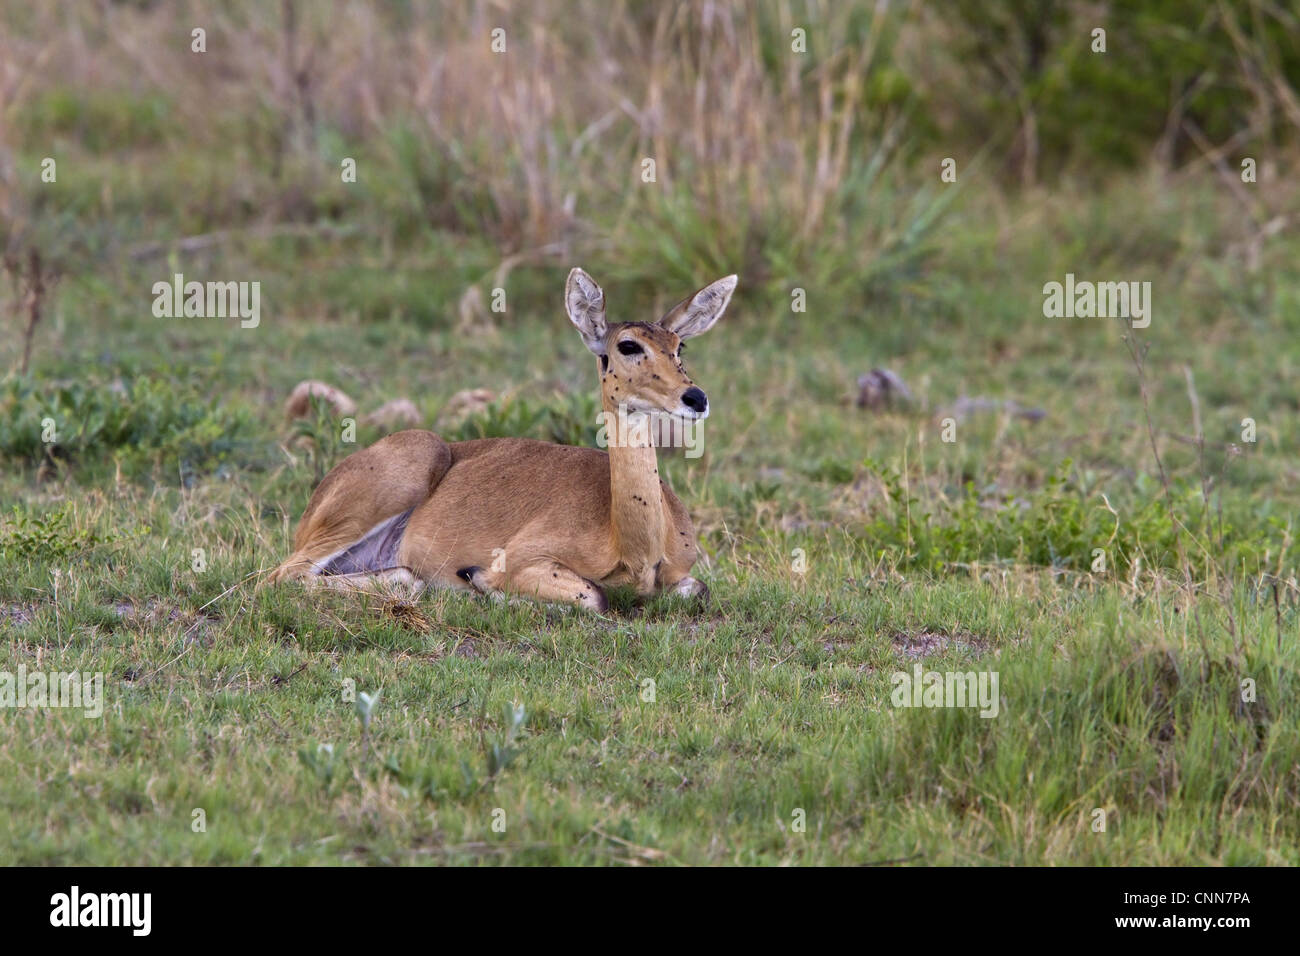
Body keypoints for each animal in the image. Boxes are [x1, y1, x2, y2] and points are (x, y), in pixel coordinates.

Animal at [269, 267, 738, 613]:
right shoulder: (527, 560)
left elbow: (699, 590)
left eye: (679, 346)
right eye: (627, 345)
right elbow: (594, 596)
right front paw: (480, 584)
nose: (695, 397)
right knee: (280, 576)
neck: (633, 548)